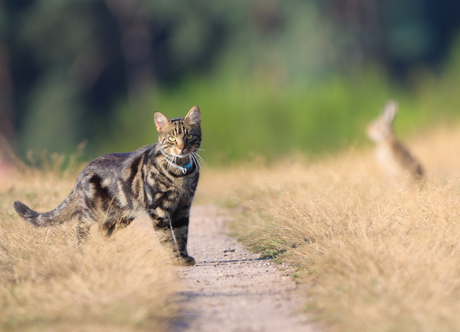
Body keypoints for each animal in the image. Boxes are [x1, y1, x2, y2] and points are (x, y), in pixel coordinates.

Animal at [13, 105, 201, 266]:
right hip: (97, 211)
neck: (180, 173)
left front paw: (183, 257)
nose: (182, 147)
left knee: (103, 232)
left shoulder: (183, 206)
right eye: (172, 138)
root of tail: (81, 173)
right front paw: (174, 259)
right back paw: (84, 248)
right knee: (81, 223)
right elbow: (167, 237)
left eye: (189, 136)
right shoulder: (158, 208)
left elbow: (182, 234)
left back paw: (109, 252)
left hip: (121, 215)